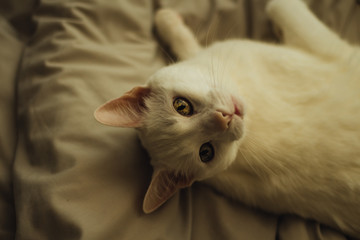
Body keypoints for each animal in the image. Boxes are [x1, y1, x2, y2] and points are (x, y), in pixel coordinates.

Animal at [95, 0, 360, 236]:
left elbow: (189, 48)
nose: (225, 118)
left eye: (181, 106)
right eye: (206, 152)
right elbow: (278, 5)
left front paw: (164, 20)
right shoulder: (332, 51)